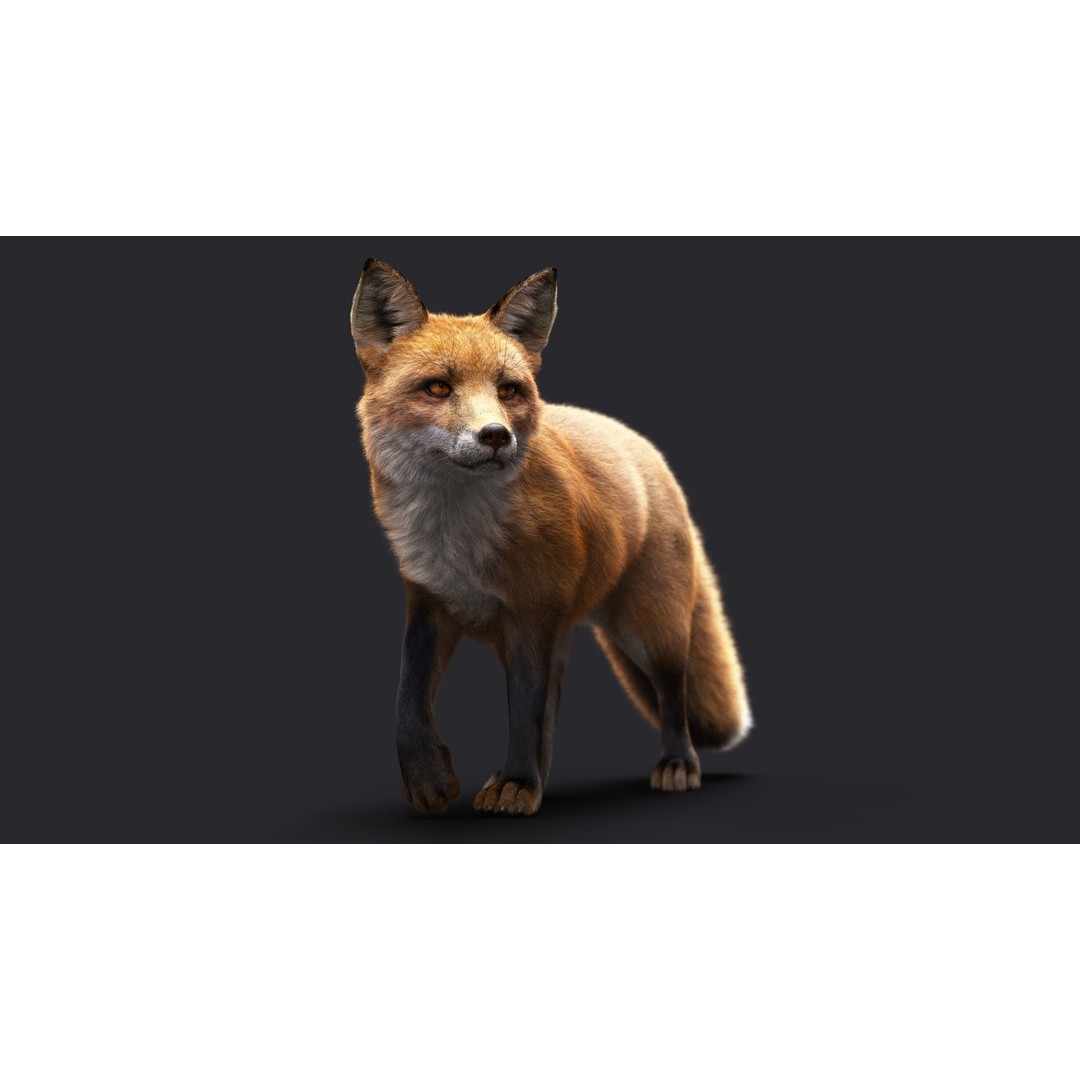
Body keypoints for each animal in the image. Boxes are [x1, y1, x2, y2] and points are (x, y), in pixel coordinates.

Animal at [351, 259, 752, 817]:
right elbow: (408, 697)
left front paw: (517, 784)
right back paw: (529, 780)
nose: (496, 436)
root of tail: (642, 445)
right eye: (437, 388)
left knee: (673, 693)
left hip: (649, 631)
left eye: (508, 391)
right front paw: (429, 779)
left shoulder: (531, 615)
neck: (458, 542)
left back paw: (676, 764)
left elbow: (524, 711)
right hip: (564, 637)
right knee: (552, 717)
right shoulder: (430, 601)